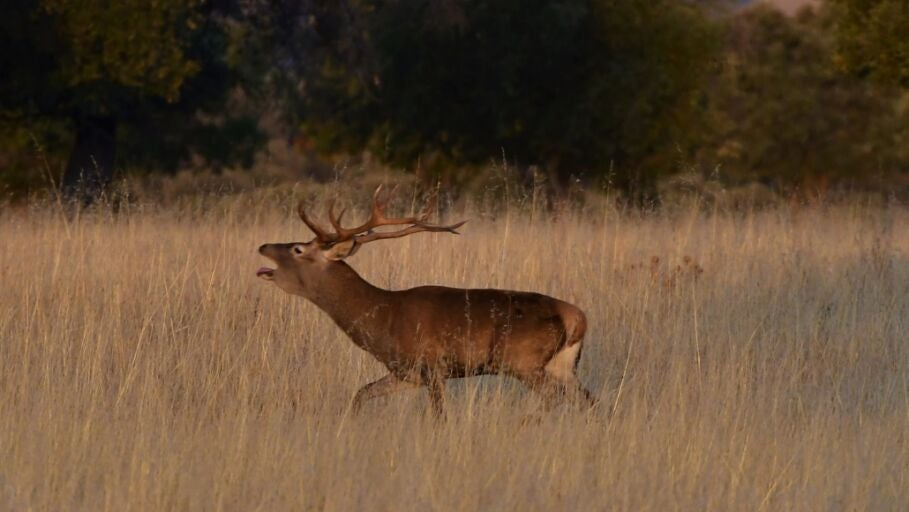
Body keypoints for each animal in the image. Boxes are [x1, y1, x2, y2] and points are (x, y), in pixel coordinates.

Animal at [256, 186, 596, 417]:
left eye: (298, 249)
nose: (263, 247)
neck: (382, 319)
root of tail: (577, 317)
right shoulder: (406, 373)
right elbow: (361, 393)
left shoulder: (433, 365)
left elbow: (440, 417)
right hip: (562, 365)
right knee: (588, 400)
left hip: (522, 360)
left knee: (555, 397)